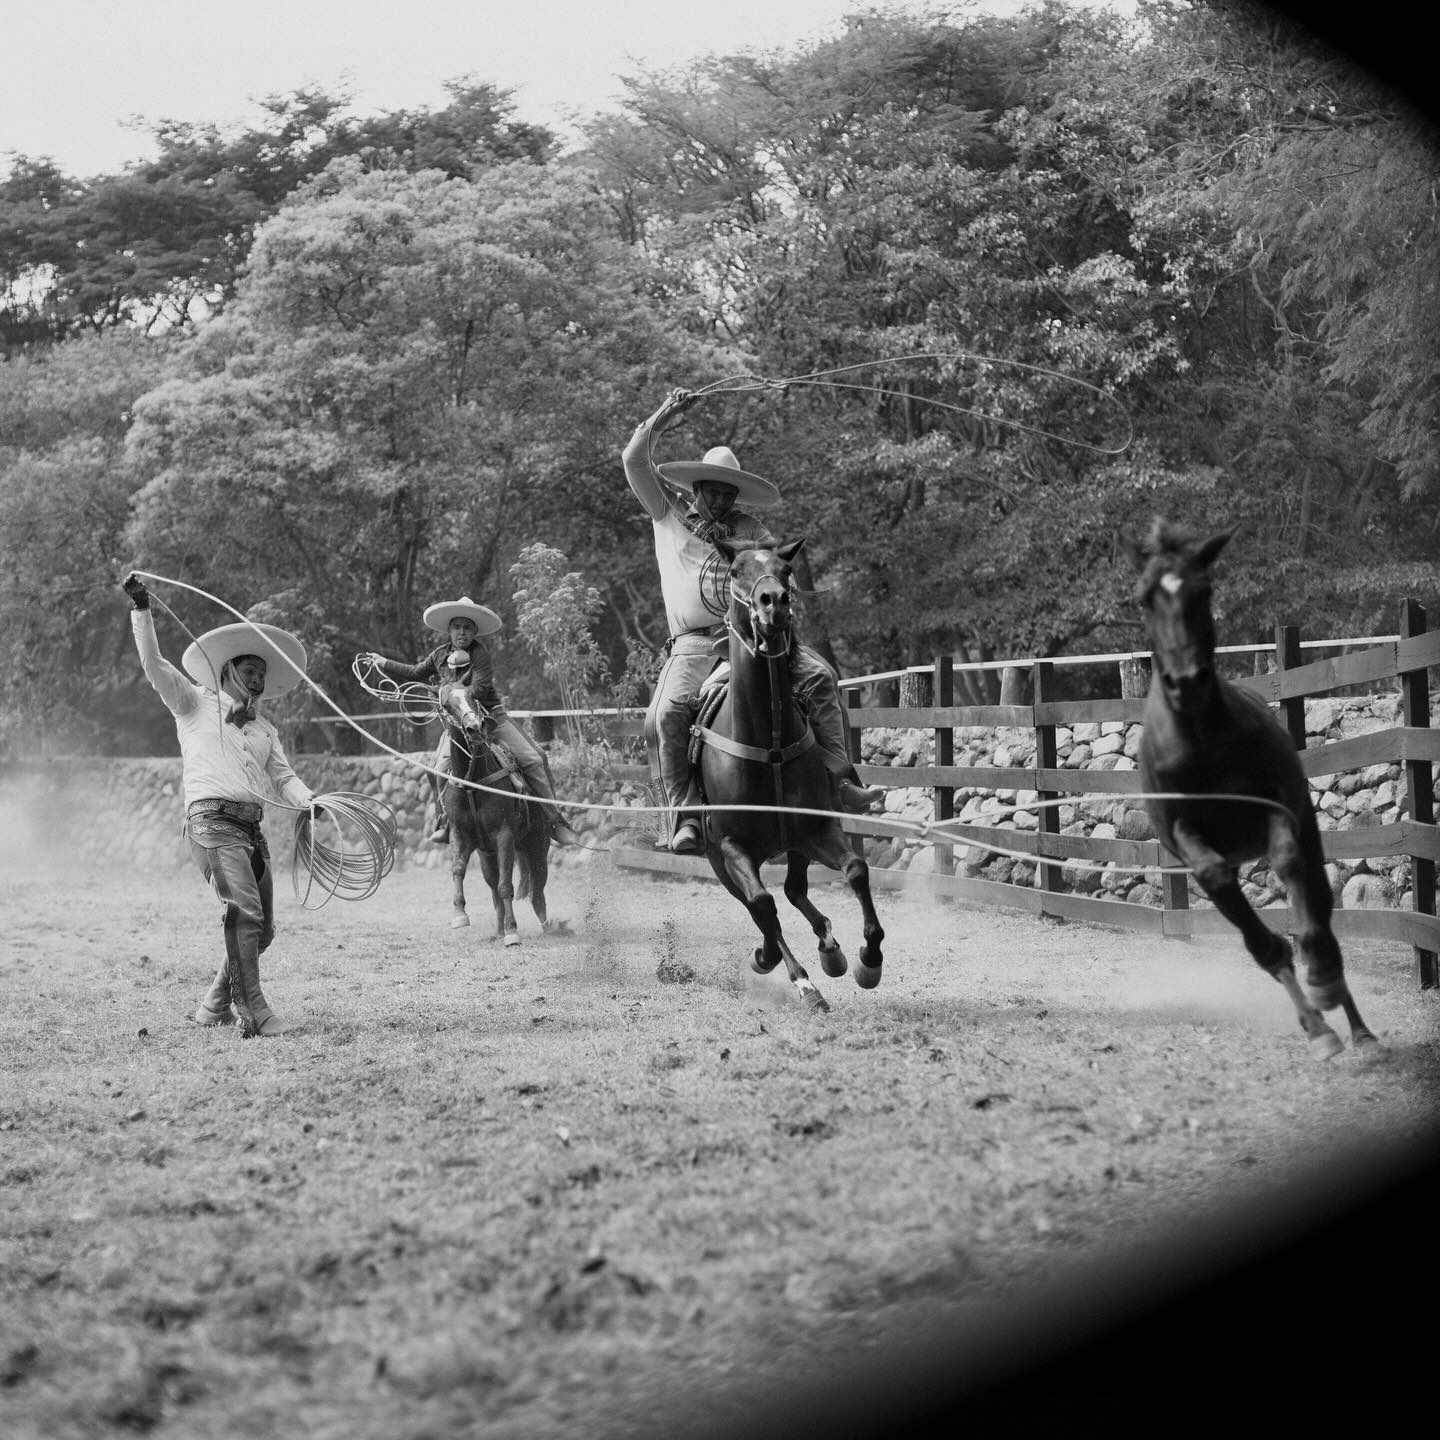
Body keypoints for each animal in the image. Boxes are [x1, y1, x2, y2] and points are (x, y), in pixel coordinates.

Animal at [437, 682, 550, 944]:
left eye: (472, 696)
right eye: (447, 704)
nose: (475, 727)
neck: (473, 781)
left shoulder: (504, 835)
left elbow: (506, 885)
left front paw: (512, 931)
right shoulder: (459, 833)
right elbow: (458, 869)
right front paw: (460, 915)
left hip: (538, 846)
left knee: (537, 892)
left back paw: (550, 928)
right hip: (487, 855)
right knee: (494, 889)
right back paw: (498, 930)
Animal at [694, 538, 881, 1013]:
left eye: (785, 569)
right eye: (736, 571)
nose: (773, 602)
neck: (769, 743)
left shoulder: (815, 829)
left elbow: (856, 870)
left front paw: (869, 960)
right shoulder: (731, 846)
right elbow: (762, 903)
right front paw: (801, 982)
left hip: (793, 846)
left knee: (795, 890)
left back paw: (830, 950)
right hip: (719, 860)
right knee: (759, 904)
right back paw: (773, 957)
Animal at [1128, 521, 1376, 1059]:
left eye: (1204, 589)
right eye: (1144, 597)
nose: (1187, 682)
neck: (1201, 740)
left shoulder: (1276, 806)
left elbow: (1288, 865)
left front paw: (1323, 977)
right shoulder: (1189, 840)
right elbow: (1249, 924)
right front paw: (1316, 1027)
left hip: (1305, 835)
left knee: (1318, 906)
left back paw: (1355, 1021)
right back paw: (1320, 1025)